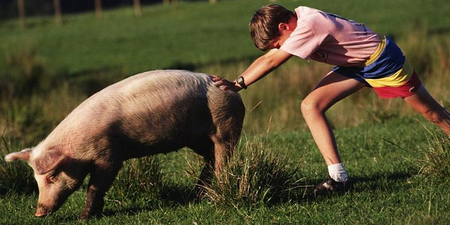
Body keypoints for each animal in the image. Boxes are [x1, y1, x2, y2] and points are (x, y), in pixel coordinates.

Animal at [3, 69, 244, 219]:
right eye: (35, 179)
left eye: (52, 175)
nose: (38, 213)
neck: (78, 147)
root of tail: (232, 91)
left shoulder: (109, 155)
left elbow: (96, 185)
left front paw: (83, 217)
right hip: (197, 139)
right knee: (209, 158)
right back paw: (198, 194)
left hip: (226, 126)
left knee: (223, 157)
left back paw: (218, 190)